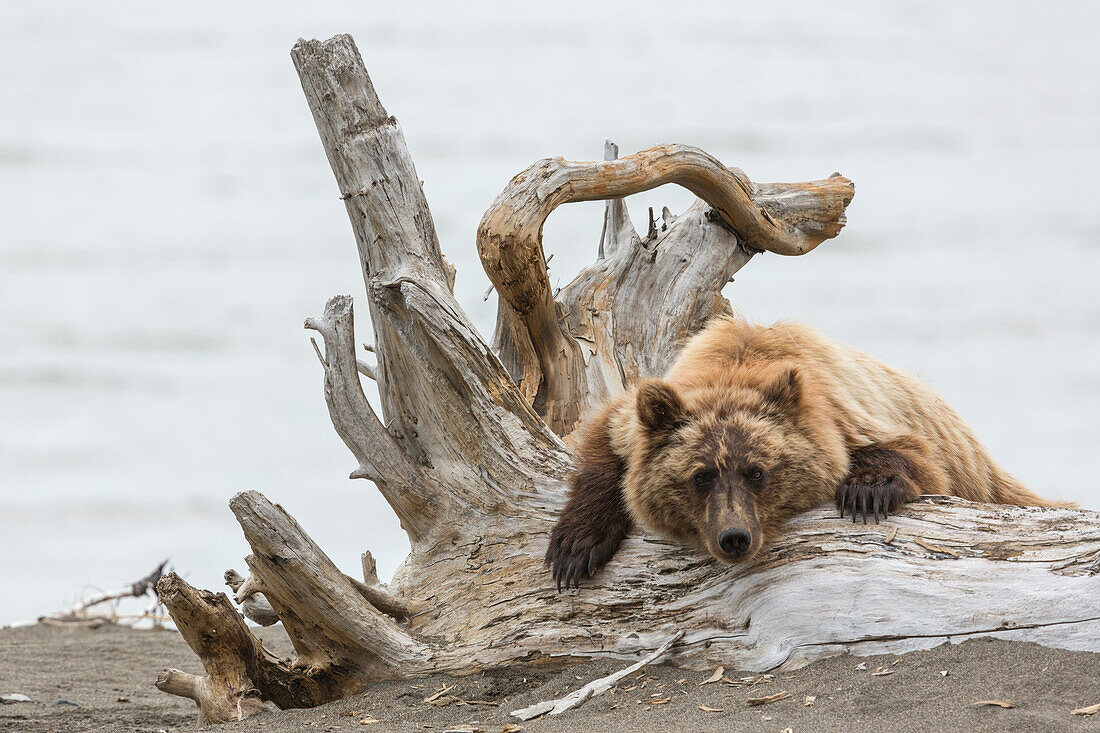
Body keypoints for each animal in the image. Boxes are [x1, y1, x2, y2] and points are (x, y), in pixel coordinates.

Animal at [550, 314, 1073, 589]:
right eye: (701, 475)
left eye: (757, 471)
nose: (735, 537)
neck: (734, 367)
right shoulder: (640, 414)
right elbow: (602, 444)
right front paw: (576, 548)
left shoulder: (846, 410)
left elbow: (909, 456)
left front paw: (867, 490)